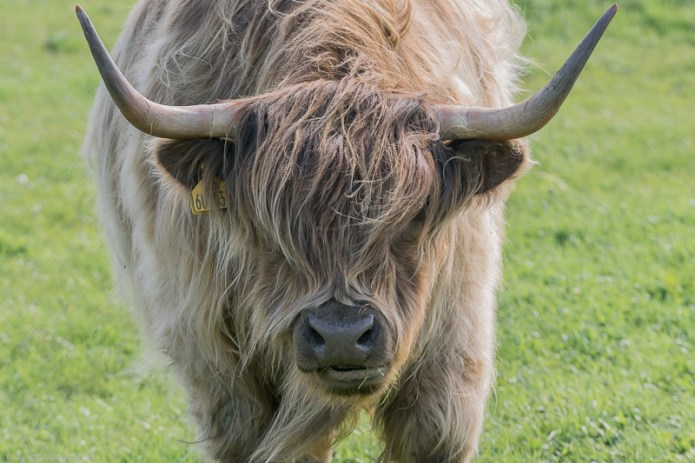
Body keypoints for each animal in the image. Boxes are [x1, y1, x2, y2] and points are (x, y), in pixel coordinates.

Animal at [77, 1, 615, 462]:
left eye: (413, 217)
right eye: (268, 225)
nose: (341, 336)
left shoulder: (455, 342)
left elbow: (434, 433)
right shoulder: (214, 362)